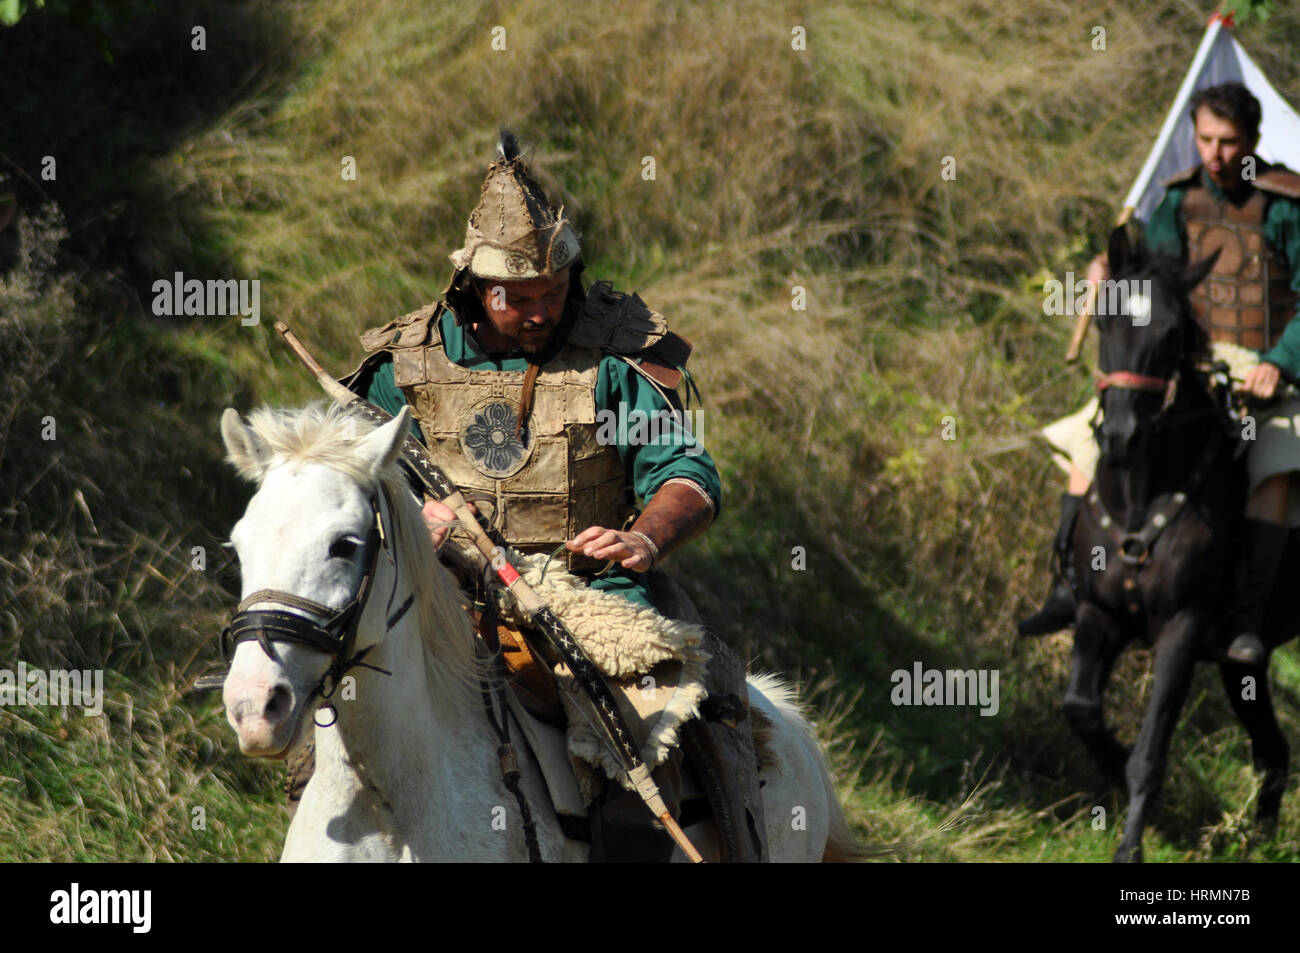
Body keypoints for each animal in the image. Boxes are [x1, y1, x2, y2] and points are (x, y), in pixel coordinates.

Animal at [1060, 224, 1294, 863]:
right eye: (1106, 320)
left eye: (1171, 334)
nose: (1119, 436)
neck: (1140, 494)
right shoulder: (1099, 614)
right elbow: (1081, 709)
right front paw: (1112, 767)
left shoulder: (1181, 633)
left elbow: (1150, 753)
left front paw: (1130, 845)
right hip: (1242, 667)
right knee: (1272, 749)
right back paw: (1259, 839)